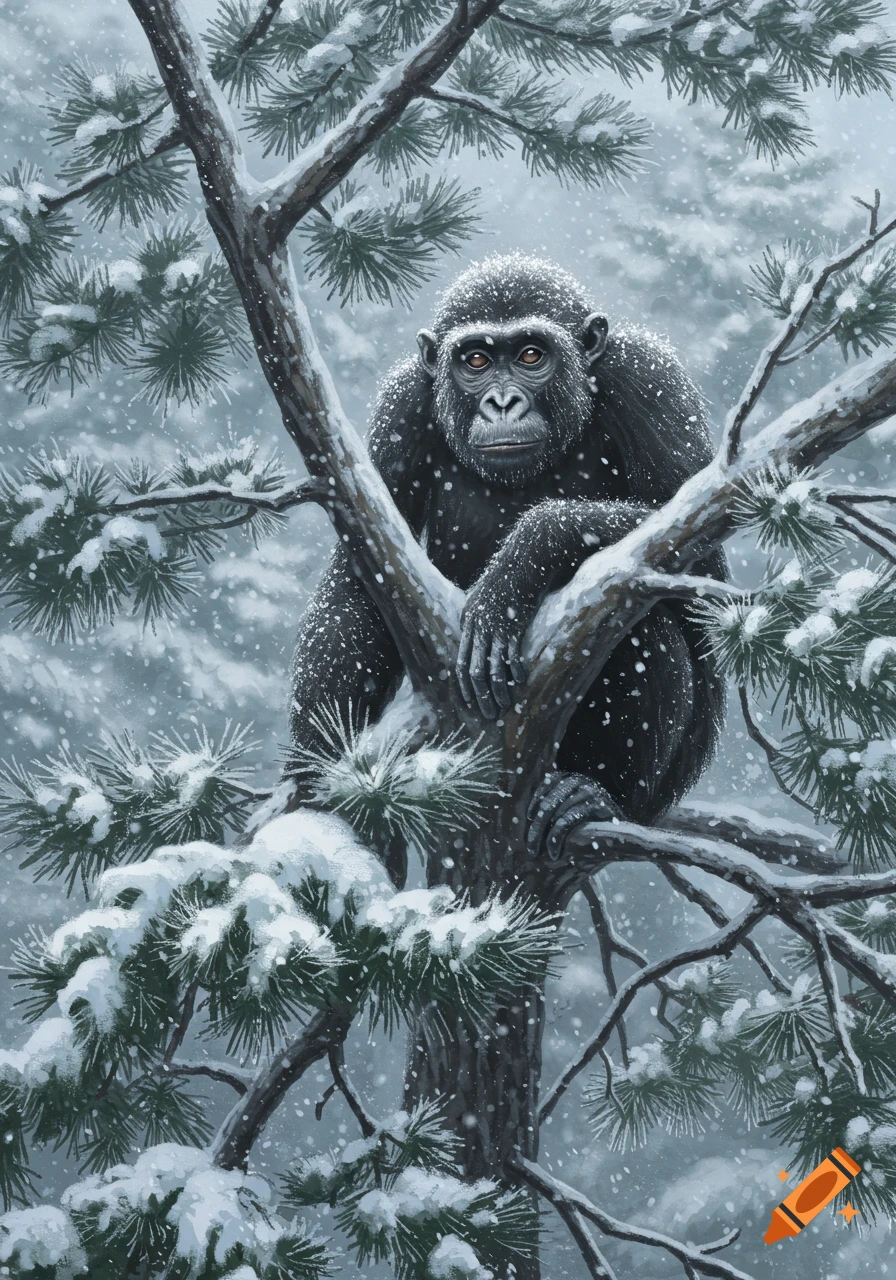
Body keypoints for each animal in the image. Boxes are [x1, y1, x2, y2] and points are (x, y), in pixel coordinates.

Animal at [289, 254, 725, 861]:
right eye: (475, 360)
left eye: (531, 355)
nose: (501, 402)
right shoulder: (401, 407)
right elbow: (359, 575)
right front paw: (312, 783)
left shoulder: (652, 383)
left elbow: (703, 553)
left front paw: (521, 561)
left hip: (653, 796)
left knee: (639, 624)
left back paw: (591, 796)